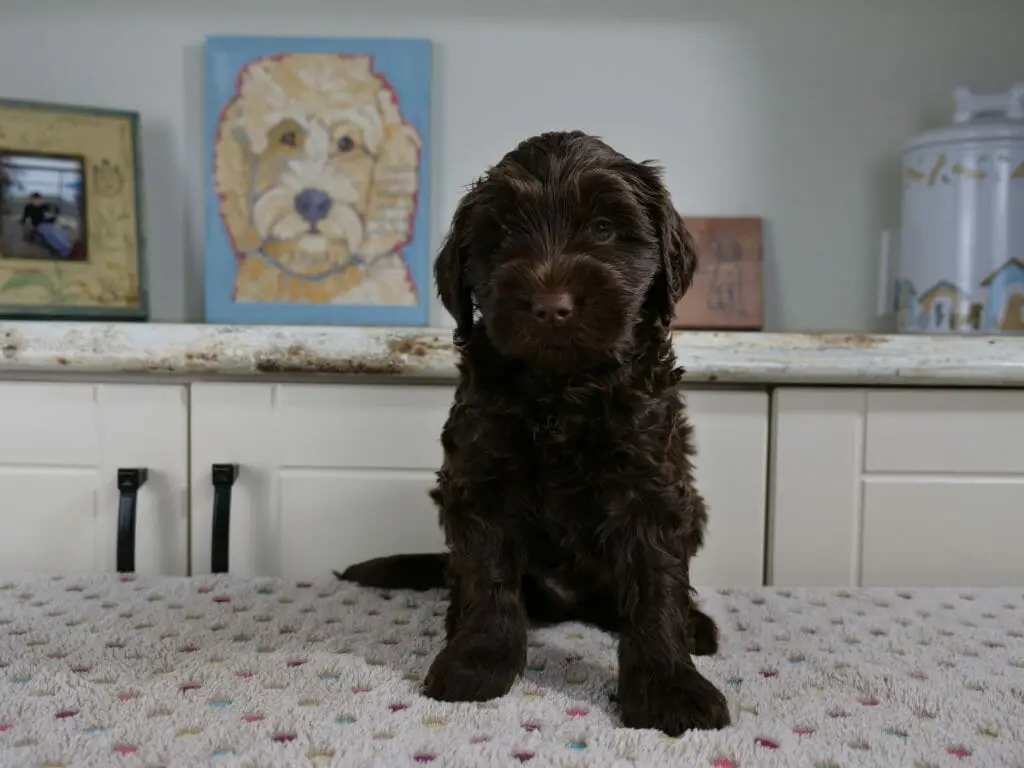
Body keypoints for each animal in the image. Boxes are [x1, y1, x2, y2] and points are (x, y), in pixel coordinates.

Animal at [339, 132, 733, 741]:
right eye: (501, 236)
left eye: (603, 227)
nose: (551, 307)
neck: (562, 388)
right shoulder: (480, 474)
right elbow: (487, 574)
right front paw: (477, 660)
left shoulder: (650, 479)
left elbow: (656, 584)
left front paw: (670, 686)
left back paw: (694, 626)